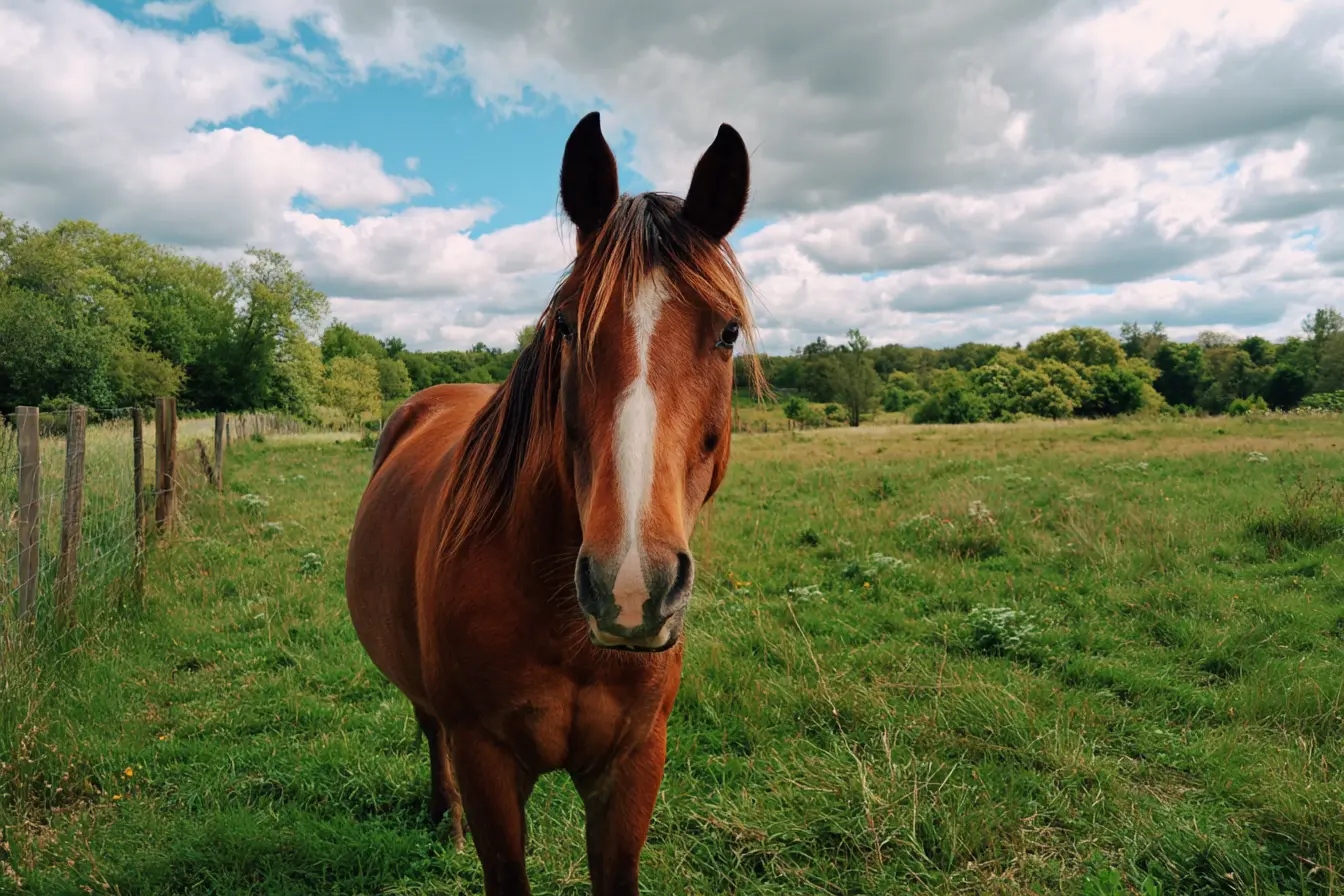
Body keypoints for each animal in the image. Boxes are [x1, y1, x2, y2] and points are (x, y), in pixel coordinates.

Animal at [344, 110, 756, 895]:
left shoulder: (634, 766)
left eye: (727, 333)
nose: (631, 588)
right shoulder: (488, 762)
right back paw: (444, 820)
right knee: (427, 725)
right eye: (565, 325)